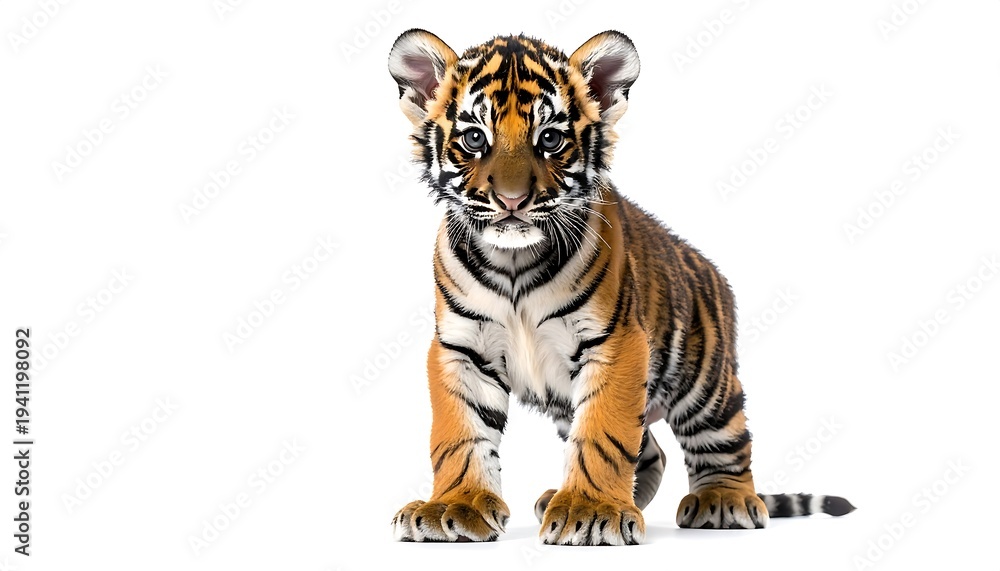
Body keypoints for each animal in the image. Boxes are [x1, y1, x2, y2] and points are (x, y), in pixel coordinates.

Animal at [387, 29, 854, 546]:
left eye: (549, 139)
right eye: (474, 138)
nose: (511, 200)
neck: (514, 262)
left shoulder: (616, 343)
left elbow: (604, 435)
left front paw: (590, 512)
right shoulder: (461, 347)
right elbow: (459, 434)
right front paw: (455, 506)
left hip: (705, 384)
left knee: (726, 443)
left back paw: (722, 501)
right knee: (653, 453)